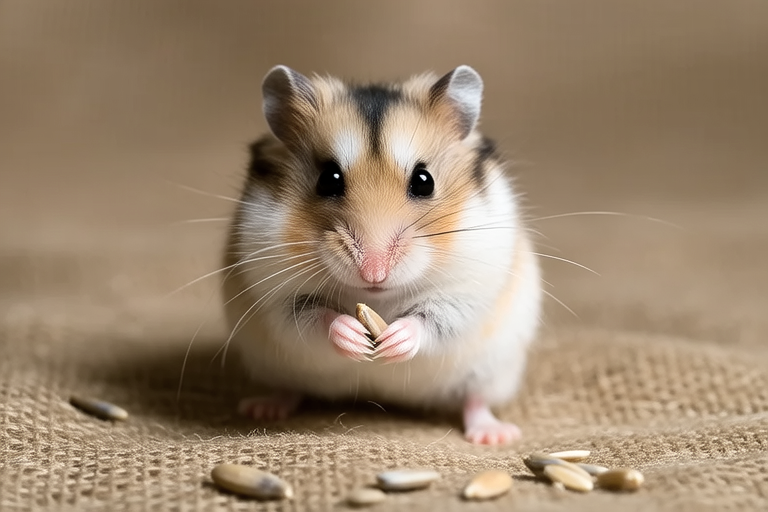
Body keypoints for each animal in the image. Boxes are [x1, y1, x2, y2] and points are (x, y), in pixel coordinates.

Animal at [221, 64, 542, 445]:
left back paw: (495, 435)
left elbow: (431, 319)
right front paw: (355, 337)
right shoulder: (279, 297)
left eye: (424, 180)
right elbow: (315, 317)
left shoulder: (466, 294)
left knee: (475, 401)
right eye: (328, 179)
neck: (377, 298)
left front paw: (393, 340)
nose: (374, 273)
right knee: (288, 388)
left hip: (493, 370)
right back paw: (261, 409)